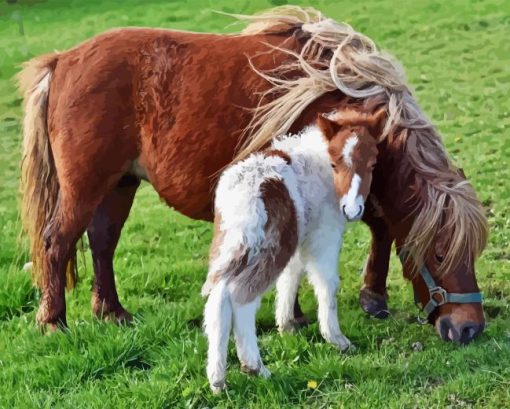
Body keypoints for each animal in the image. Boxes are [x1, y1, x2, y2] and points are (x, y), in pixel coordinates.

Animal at [17, 7, 488, 344]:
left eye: (474, 253)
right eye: (441, 255)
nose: (470, 328)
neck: (339, 96)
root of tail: (63, 60)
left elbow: (382, 225)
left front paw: (372, 296)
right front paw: (297, 317)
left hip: (119, 185)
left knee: (102, 243)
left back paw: (112, 312)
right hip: (85, 186)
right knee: (57, 242)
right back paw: (54, 322)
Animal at [201, 108, 384, 392]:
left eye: (372, 165)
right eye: (334, 164)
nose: (353, 210)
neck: (319, 167)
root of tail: (246, 194)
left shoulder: (299, 238)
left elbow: (290, 278)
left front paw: (286, 326)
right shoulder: (324, 235)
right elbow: (327, 284)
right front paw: (337, 340)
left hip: (232, 245)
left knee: (219, 297)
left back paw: (218, 380)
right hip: (270, 248)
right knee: (241, 297)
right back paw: (256, 367)